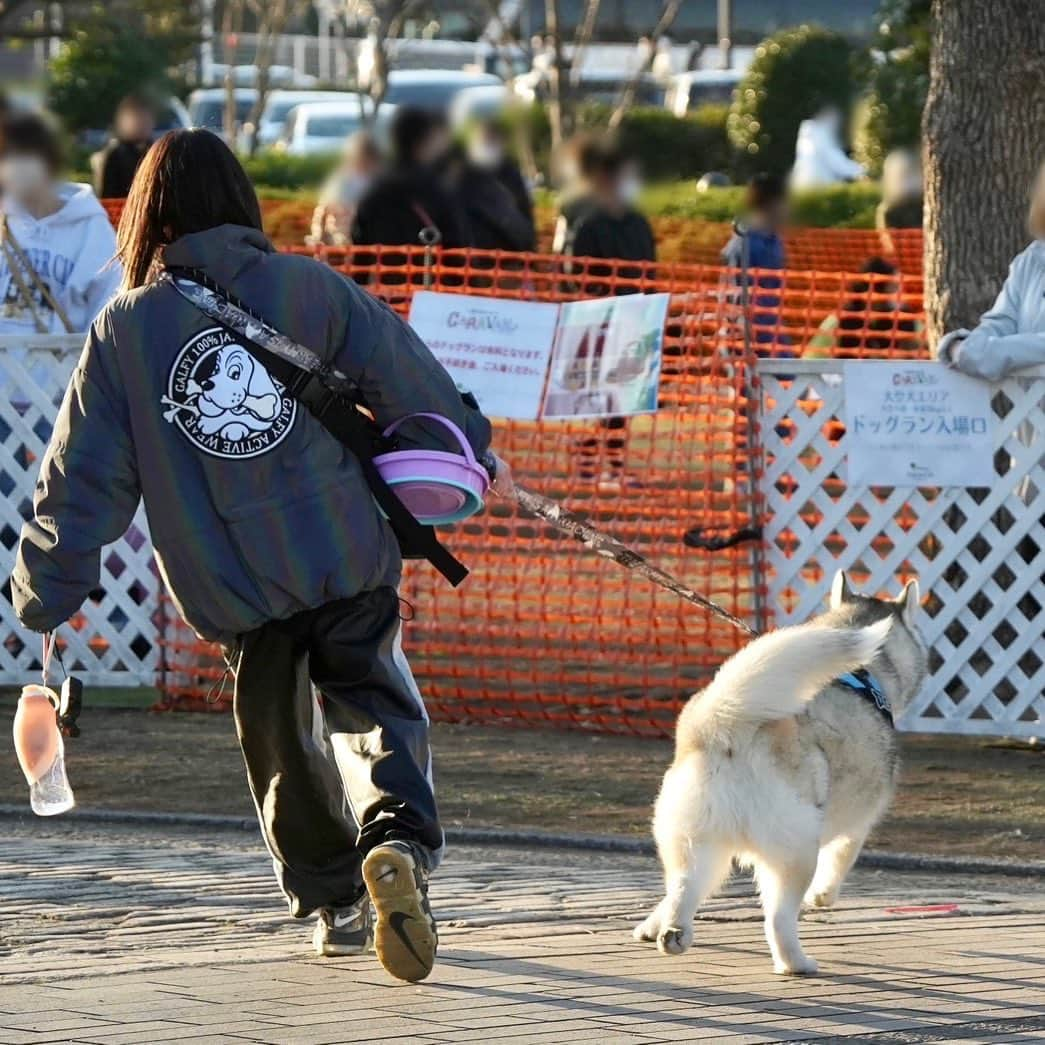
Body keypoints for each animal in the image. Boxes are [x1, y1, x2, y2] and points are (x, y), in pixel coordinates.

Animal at [631, 572, 927, 969]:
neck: (865, 672)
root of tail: (728, 723)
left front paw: (648, 926)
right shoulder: (856, 827)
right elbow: (839, 864)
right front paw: (822, 897)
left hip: (695, 842)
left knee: (681, 889)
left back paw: (673, 933)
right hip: (795, 852)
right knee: (777, 919)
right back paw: (796, 964)